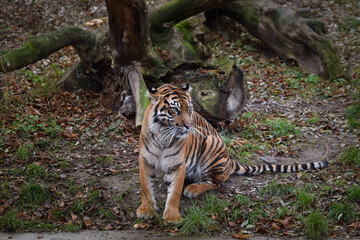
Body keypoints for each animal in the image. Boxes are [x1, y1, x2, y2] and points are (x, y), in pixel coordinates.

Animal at [136, 83, 330, 222]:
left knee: (215, 182)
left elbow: (175, 192)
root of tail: (229, 161)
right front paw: (146, 210)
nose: (189, 126)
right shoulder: (145, 159)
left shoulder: (178, 163)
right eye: (175, 109)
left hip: (210, 145)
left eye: (189, 109)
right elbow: (145, 187)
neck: (162, 134)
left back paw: (192, 189)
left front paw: (172, 217)